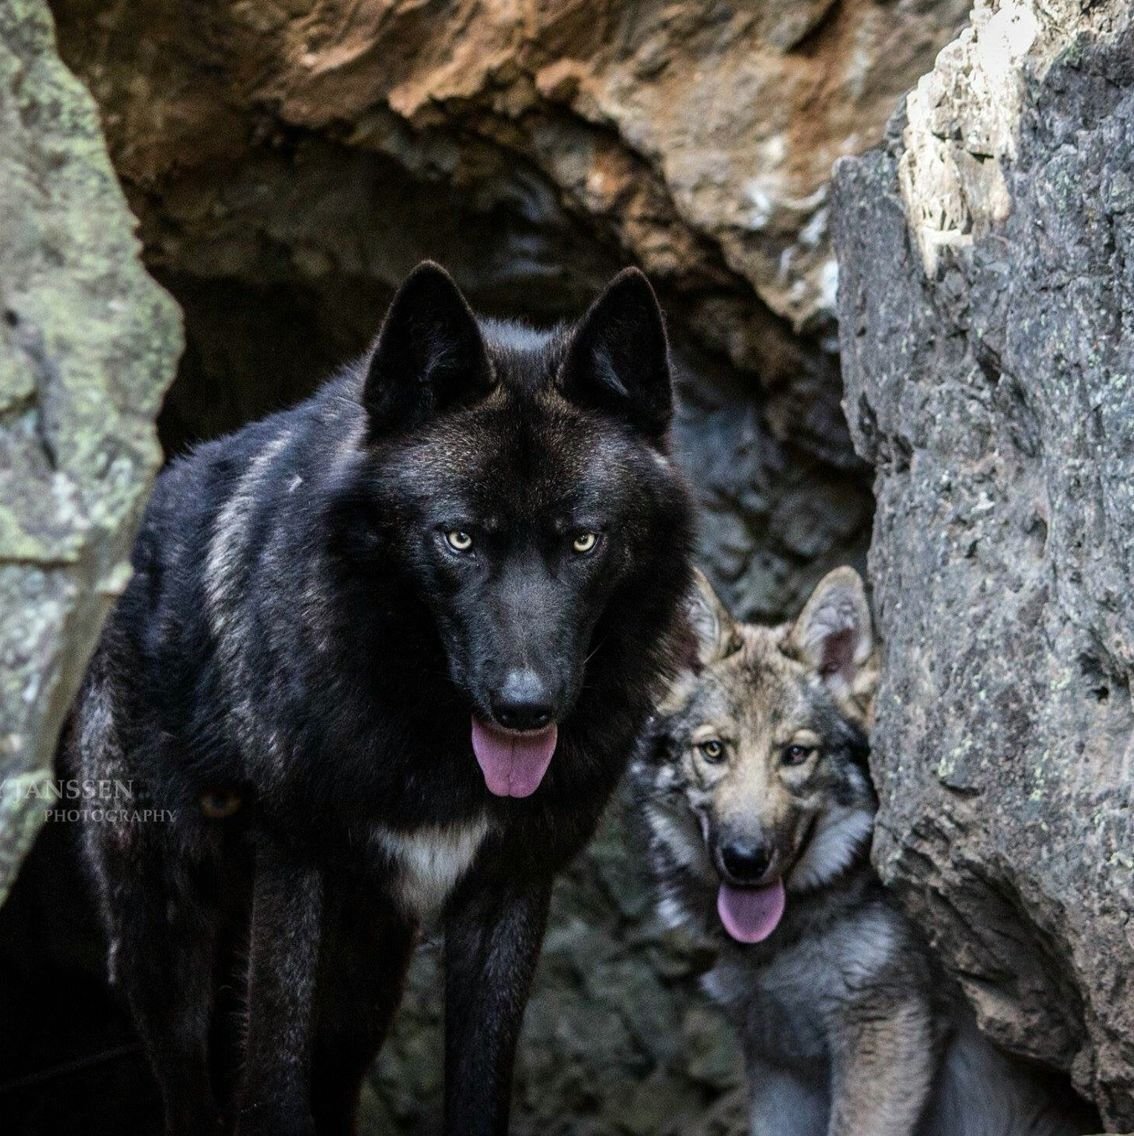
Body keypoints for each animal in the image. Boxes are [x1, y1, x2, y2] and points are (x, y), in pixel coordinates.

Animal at [71, 263, 695, 1136]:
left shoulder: (512, 885)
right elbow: (272, 1082)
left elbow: (479, 1090)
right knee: (190, 1087)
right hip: (166, 929)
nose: (526, 708)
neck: (432, 740)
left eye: (583, 540)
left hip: (370, 969)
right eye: (458, 538)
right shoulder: (295, 862)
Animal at [636, 572, 1095, 1136]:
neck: (779, 946)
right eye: (714, 750)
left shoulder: (883, 1033)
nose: (745, 859)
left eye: (795, 754)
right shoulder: (777, 1064)